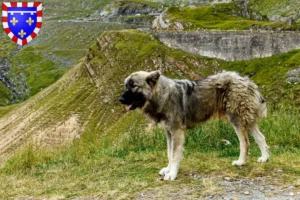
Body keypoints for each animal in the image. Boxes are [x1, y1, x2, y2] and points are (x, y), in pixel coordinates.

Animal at [118, 70, 268, 181]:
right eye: (126, 86)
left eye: (134, 86)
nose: (120, 99)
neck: (162, 95)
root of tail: (247, 81)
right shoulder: (169, 132)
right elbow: (169, 153)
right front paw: (168, 169)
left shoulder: (177, 131)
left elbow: (175, 155)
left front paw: (172, 174)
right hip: (247, 120)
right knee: (261, 137)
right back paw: (265, 158)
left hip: (236, 118)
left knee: (245, 142)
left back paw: (241, 162)